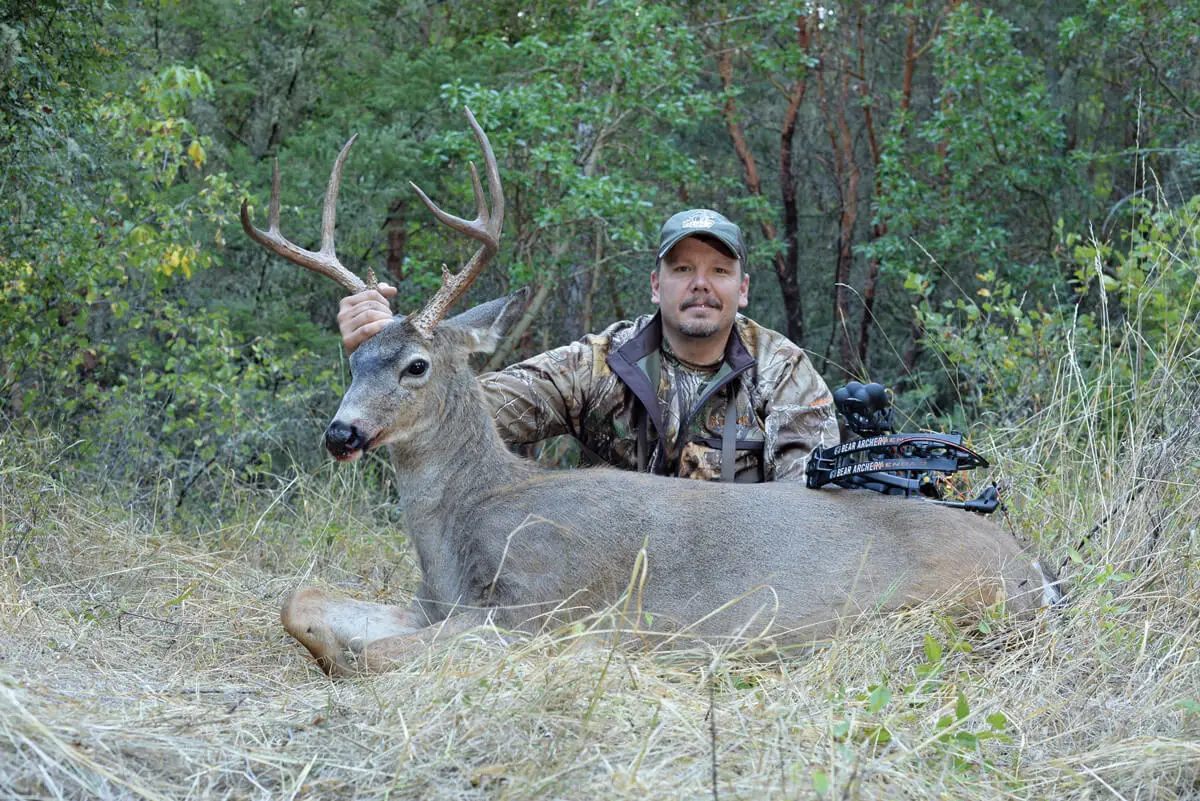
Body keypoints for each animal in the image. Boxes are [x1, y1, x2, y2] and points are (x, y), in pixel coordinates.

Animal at [241, 109, 1062, 677]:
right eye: (353, 358)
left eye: (415, 365)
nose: (341, 433)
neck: (464, 525)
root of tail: (1037, 574)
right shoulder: (431, 602)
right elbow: (298, 601)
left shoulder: (542, 606)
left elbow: (367, 657)